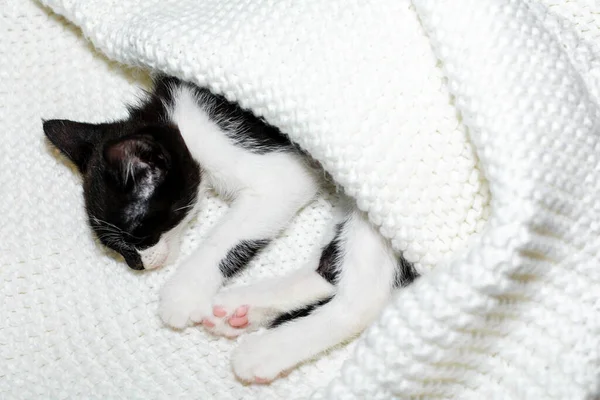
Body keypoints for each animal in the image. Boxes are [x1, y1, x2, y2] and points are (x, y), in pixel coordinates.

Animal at [43, 73, 418, 382]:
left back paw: (265, 352)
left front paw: (185, 291)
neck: (182, 124)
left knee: (362, 299)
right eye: (114, 247)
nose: (136, 263)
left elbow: (227, 238)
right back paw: (243, 310)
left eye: (139, 235)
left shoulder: (280, 174)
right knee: (330, 270)